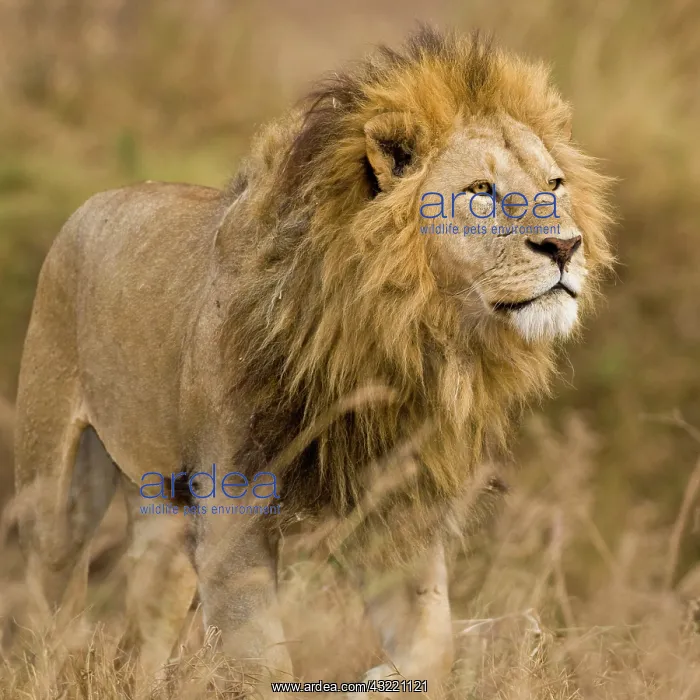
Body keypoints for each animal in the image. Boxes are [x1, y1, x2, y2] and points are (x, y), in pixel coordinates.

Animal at [14, 27, 612, 695]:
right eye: (479, 193)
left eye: (555, 185)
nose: (565, 245)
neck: (402, 335)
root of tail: (99, 199)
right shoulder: (232, 513)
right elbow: (260, 663)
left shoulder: (396, 511)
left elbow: (434, 646)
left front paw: (382, 674)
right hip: (56, 485)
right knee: (41, 596)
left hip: (162, 510)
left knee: (144, 625)